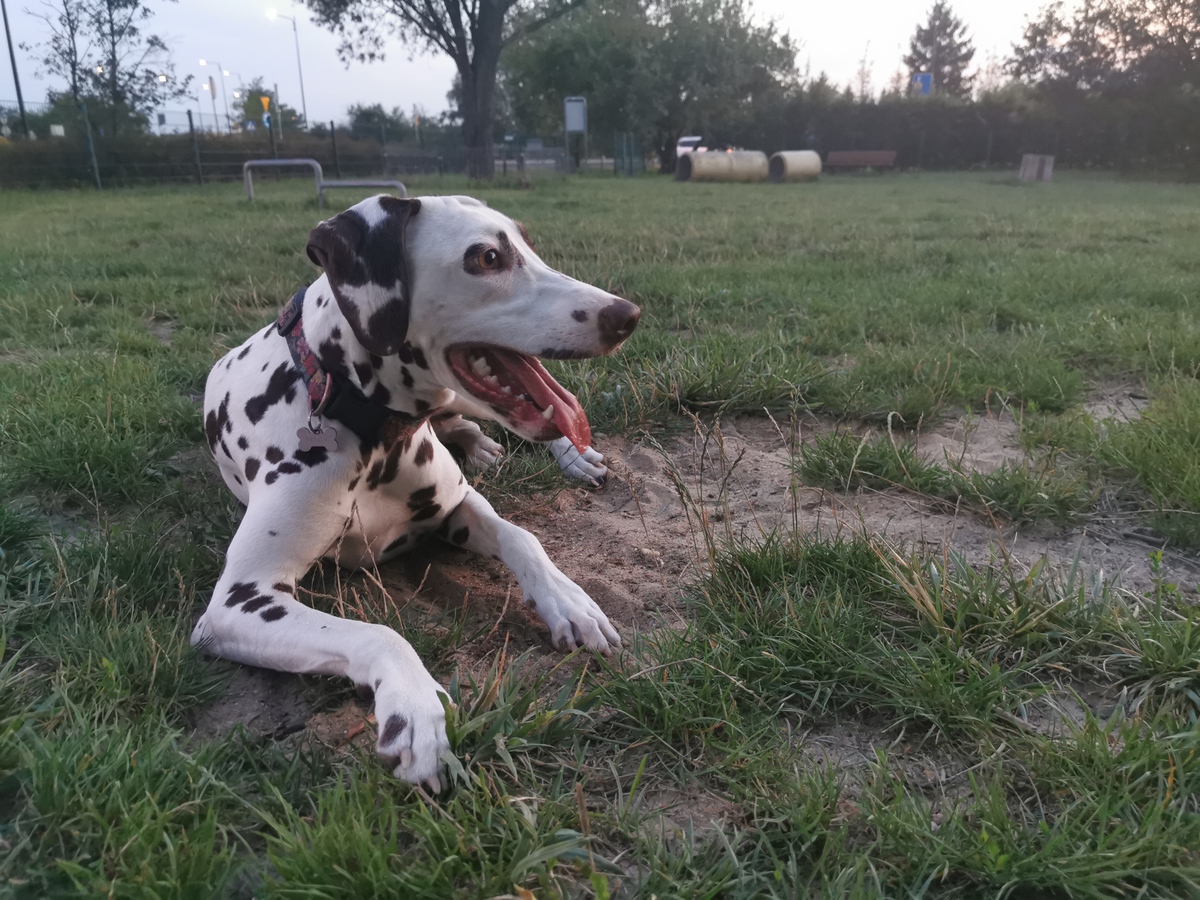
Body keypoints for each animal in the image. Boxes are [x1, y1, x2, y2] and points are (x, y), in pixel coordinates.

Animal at [195, 195, 643, 787]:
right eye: (487, 257)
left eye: (529, 244)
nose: (626, 315)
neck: (367, 426)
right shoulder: (239, 600)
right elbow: (378, 633)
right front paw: (416, 711)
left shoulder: (457, 506)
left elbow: (522, 536)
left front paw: (569, 601)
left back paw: (567, 455)